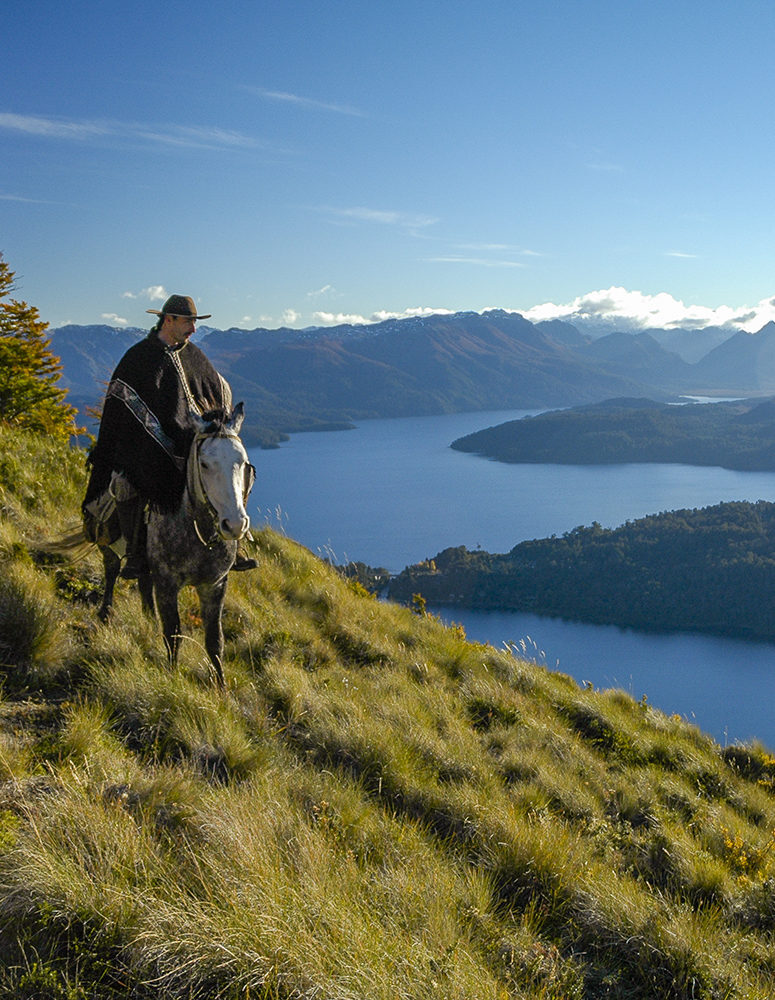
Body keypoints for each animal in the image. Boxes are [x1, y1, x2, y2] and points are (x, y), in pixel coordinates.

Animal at [92, 403, 255, 686]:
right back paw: (105, 613)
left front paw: (221, 688)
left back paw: (147, 620)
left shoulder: (215, 585)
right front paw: (172, 676)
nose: (235, 525)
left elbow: (215, 640)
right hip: (106, 540)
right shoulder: (167, 583)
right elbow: (173, 632)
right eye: (204, 464)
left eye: (244, 464)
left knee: (143, 582)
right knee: (111, 570)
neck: (197, 533)